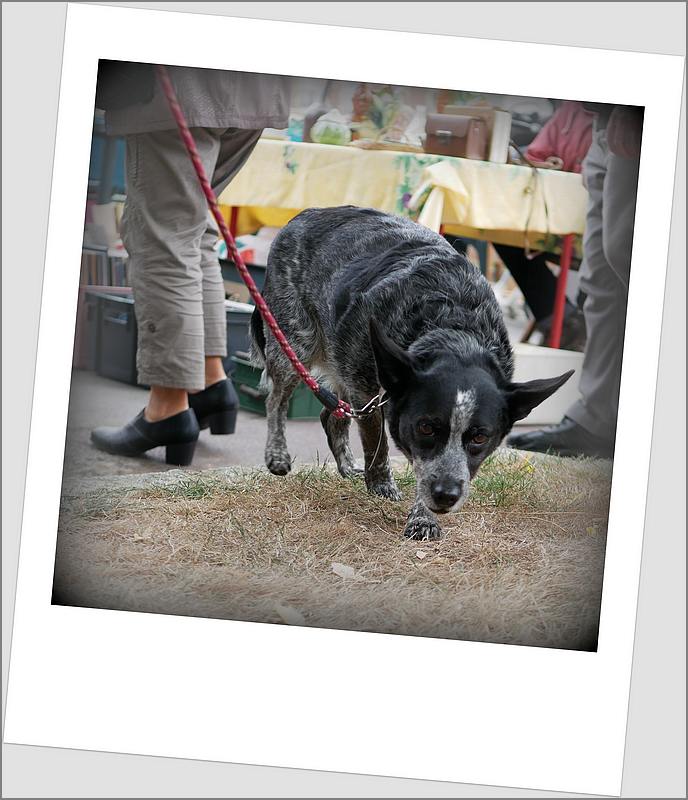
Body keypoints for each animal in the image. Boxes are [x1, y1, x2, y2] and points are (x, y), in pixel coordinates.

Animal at [250, 208, 572, 544]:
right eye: (426, 428)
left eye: (480, 437)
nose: (446, 496)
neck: (453, 328)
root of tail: (307, 214)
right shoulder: (367, 391)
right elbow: (378, 444)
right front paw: (382, 486)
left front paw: (423, 517)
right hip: (295, 342)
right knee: (277, 399)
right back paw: (278, 454)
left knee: (332, 414)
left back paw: (348, 466)